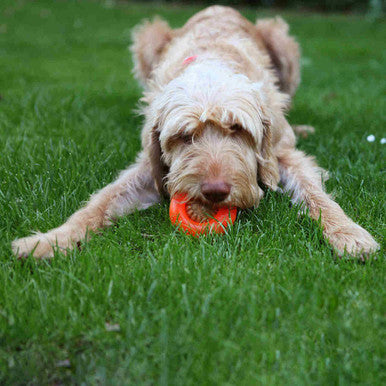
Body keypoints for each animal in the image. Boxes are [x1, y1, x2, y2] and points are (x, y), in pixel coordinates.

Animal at [12, 5, 380, 260]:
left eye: (237, 129)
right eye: (184, 136)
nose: (214, 192)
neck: (212, 61)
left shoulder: (284, 154)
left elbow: (316, 195)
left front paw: (349, 234)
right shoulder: (151, 168)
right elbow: (101, 201)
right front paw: (48, 240)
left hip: (283, 42)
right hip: (149, 37)